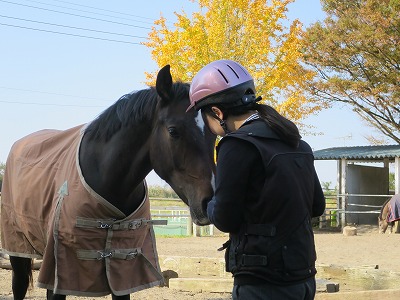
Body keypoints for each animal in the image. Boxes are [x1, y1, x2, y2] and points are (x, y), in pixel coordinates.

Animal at [0, 64, 216, 298]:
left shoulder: (123, 274)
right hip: (19, 249)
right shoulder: (61, 268)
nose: (209, 202)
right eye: (173, 131)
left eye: (213, 133)